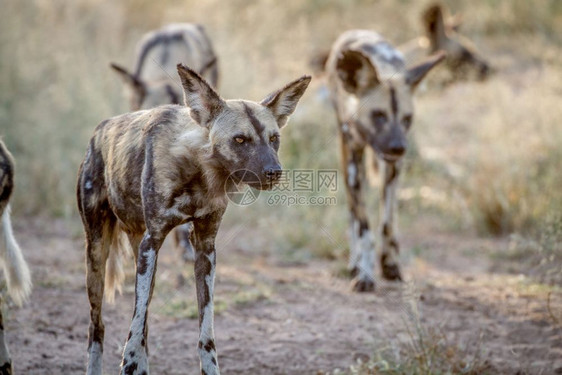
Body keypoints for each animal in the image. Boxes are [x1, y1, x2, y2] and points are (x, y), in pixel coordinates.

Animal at [76, 63, 308, 374]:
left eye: (274, 139)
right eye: (240, 139)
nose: (274, 172)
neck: (199, 172)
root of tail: (99, 131)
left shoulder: (204, 249)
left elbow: (205, 332)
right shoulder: (154, 240)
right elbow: (133, 330)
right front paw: (130, 362)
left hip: (142, 256)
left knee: (144, 321)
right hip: (98, 254)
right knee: (98, 326)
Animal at [324, 30, 442, 292]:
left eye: (407, 119)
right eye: (378, 115)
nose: (399, 147)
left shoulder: (393, 167)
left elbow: (387, 223)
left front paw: (390, 265)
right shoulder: (353, 164)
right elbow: (364, 228)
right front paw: (365, 274)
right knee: (352, 213)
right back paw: (354, 263)